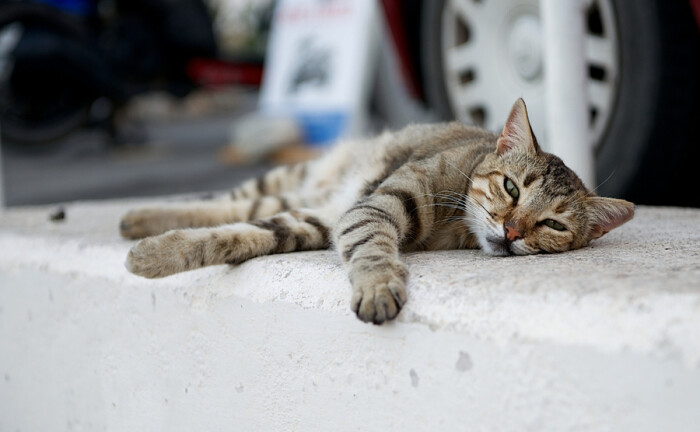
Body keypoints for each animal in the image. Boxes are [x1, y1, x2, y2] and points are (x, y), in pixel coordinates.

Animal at [120, 99, 636, 324]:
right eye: (511, 188)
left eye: (552, 224)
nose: (511, 231)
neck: (457, 222)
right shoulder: (377, 203)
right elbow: (372, 248)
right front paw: (378, 286)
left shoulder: (327, 220)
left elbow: (241, 234)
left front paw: (153, 256)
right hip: (292, 177)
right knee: (225, 198)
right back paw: (136, 216)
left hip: (306, 199)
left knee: (242, 207)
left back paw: (138, 223)